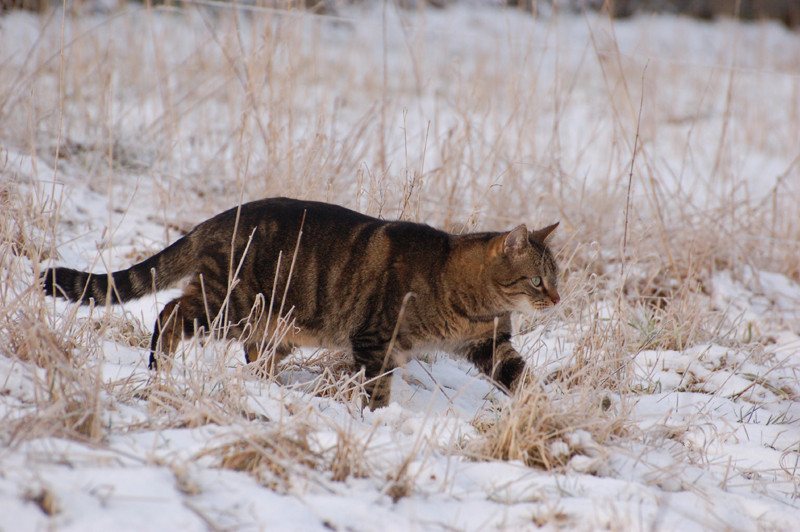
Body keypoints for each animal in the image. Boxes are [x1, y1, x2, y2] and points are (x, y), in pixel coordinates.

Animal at [40, 197, 560, 410]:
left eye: (557, 278)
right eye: (537, 280)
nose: (556, 300)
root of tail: (212, 221)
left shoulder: (492, 344)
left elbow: (524, 379)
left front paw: (546, 413)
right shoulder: (376, 340)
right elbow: (377, 390)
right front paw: (377, 421)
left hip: (272, 327)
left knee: (255, 355)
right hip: (228, 306)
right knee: (169, 314)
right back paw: (159, 369)